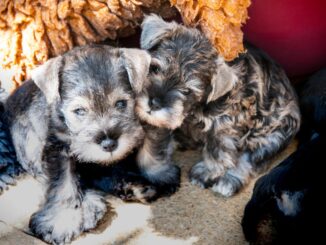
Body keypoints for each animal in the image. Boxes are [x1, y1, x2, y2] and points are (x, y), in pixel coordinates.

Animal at [136, 15, 302, 197]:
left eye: (187, 91)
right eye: (155, 68)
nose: (153, 103)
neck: (193, 110)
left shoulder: (223, 128)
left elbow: (217, 153)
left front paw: (206, 173)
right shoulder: (159, 123)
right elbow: (153, 146)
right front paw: (158, 173)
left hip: (269, 136)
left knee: (249, 160)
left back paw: (228, 181)